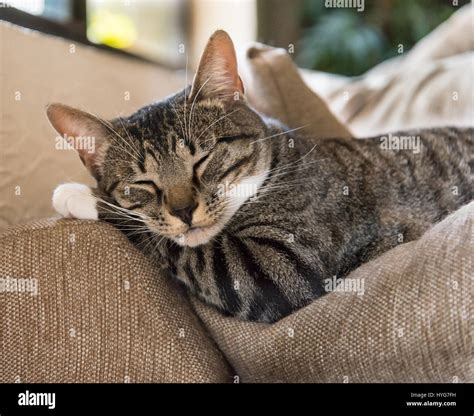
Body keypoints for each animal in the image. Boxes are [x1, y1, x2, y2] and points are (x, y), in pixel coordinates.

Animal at [49, 30, 474, 324]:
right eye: (142, 184)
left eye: (202, 159)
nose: (183, 211)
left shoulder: (276, 265)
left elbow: (173, 244)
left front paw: (80, 196)